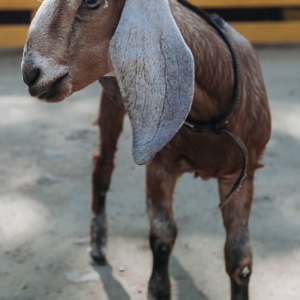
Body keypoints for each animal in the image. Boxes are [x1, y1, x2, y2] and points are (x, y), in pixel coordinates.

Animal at [20, 1, 270, 298]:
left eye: (92, 2)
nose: (30, 74)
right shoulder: (162, 165)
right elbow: (163, 237)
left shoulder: (242, 173)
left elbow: (239, 257)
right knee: (102, 164)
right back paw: (99, 244)